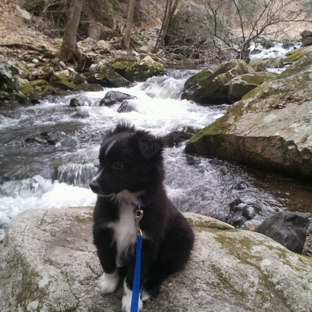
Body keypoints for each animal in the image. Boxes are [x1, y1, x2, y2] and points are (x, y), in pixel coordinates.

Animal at [89, 124, 194, 312]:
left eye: (118, 164)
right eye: (100, 161)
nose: (92, 185)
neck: (128, 201)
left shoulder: (146, 242)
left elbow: (134, 277)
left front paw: (131, 300)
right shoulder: (102, 231)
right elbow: (107, 261)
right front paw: (109, 282)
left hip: (179, 238)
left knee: (162, 269)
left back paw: (148, 288)